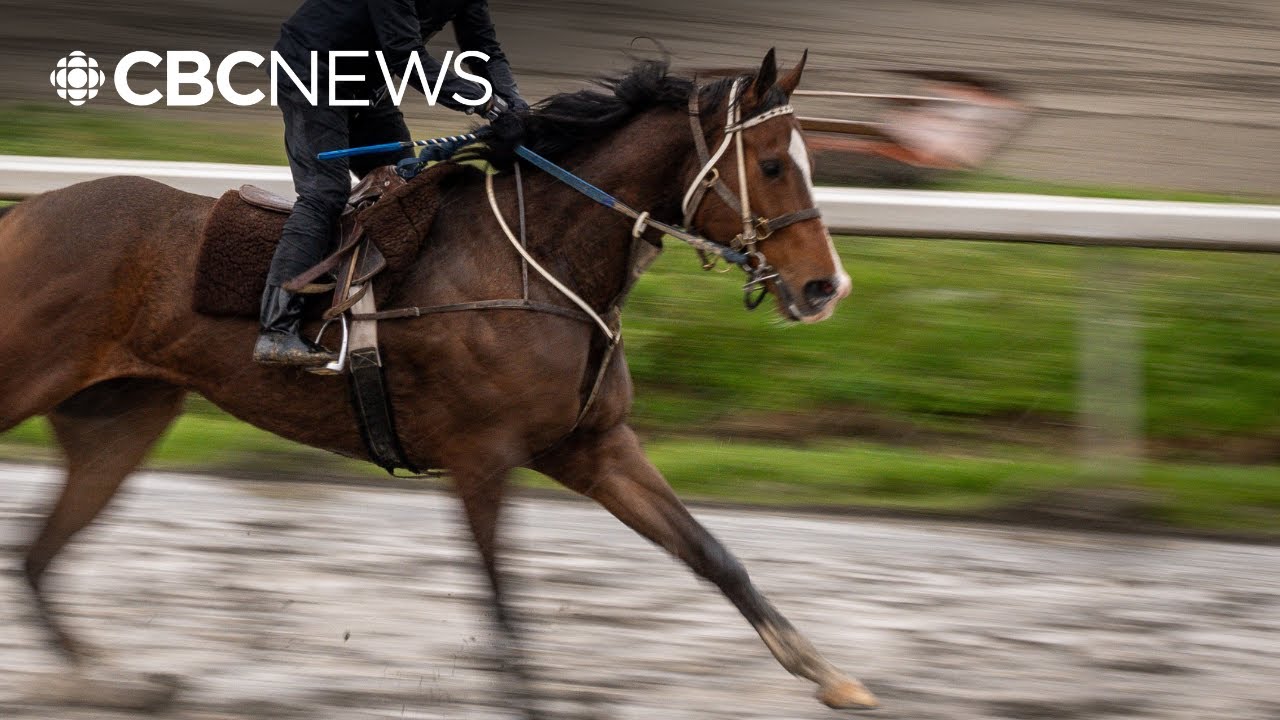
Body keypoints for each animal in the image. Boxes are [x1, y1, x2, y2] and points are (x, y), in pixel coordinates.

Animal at [0, 49, 875, 712]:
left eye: (809, 160)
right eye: (772, 164)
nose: (825, 288)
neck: (542, 261)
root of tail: (24, 212)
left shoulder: (593, 446)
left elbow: (713, 555)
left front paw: (831, 676)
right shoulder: (481, 456)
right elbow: (503, 598)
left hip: (120, 418)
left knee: (37, 555)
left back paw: (110, 679)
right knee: (37, 551)